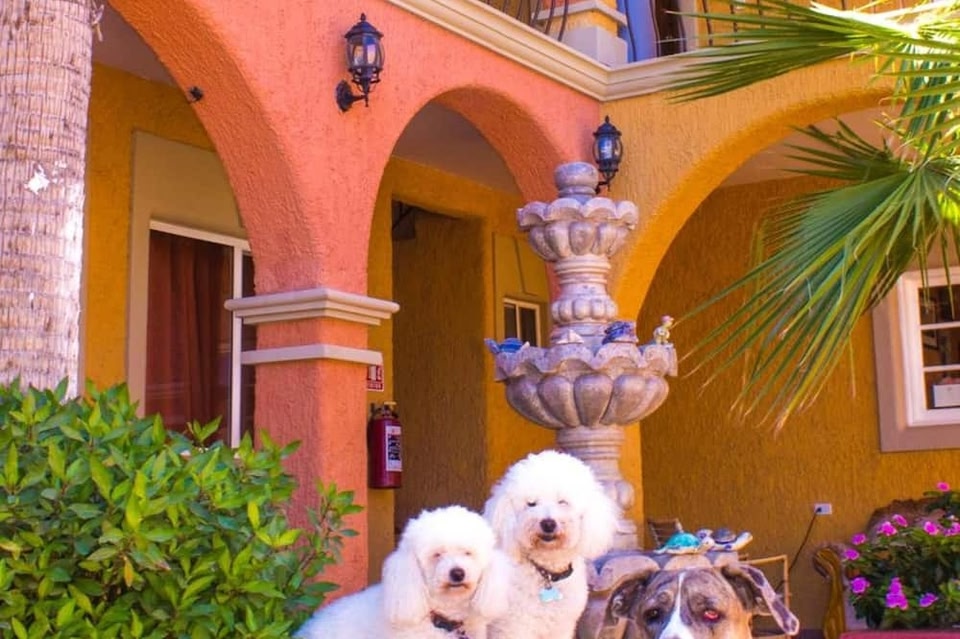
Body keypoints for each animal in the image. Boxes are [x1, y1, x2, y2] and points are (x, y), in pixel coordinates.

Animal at [483, 449, 620, 639]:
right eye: (531, 503)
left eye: (563, 502)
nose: (548, 523)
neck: (547, 571)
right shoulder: (514, 626)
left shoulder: (561, 626)